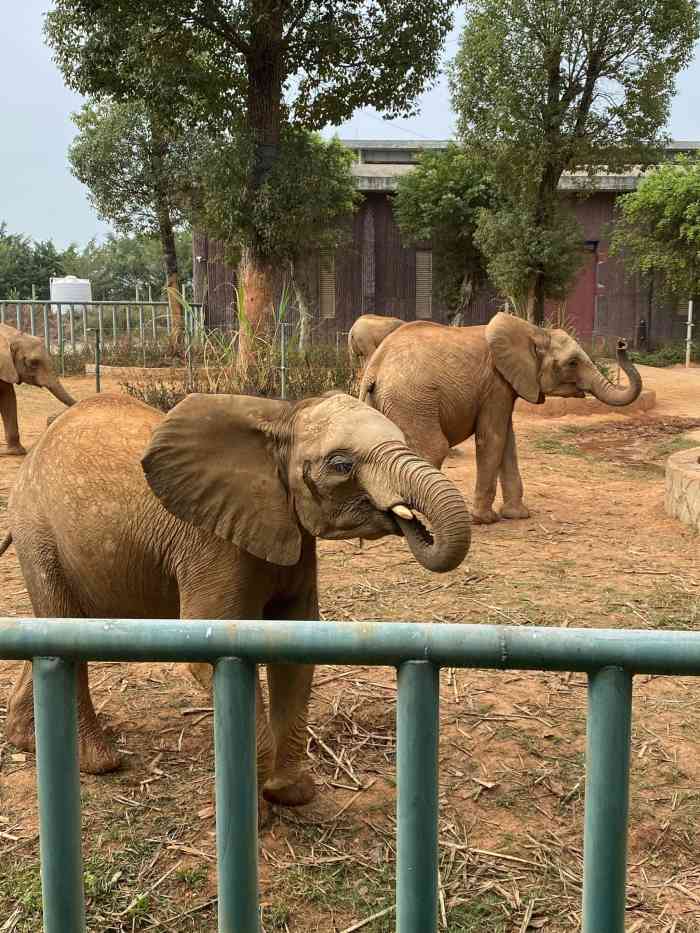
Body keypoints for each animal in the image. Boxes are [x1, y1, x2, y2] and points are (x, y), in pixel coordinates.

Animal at [0, 324, 76, 456]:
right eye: (33, 362)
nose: (50, 418)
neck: (11, 335)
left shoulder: (7, 367)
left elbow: (8, 397)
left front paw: (15, 452)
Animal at [4, 388, 470, 808]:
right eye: (341, 465)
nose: (412, 522)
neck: (281, 419)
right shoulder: (212, 544)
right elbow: (208, 650)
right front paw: (261, 814)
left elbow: (297, 648)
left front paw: (291, 794)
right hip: (38, 532)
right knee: (63, 628)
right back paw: (99, 762)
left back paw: (26, 740)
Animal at [364, 314, 644, 524]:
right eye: (572, 363)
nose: (622, 344)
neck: (534, 330)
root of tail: (374, 370)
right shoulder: (495, 384)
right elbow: (493, 440)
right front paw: (485, 520)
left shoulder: (506, 386)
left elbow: (508, 442)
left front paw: (517, 515)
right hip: (412, 400)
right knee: (432, 448)